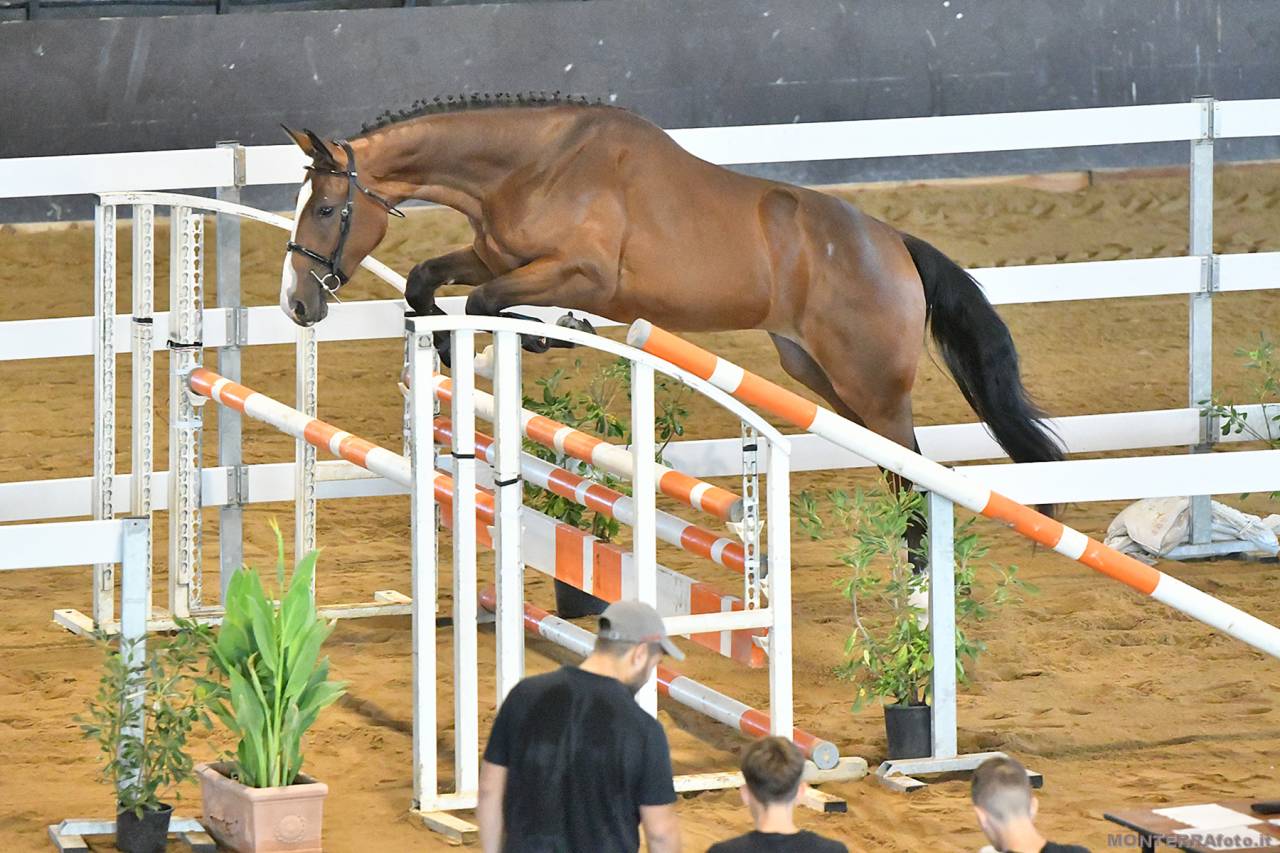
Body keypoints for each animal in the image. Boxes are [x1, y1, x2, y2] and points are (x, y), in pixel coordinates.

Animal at [279, 96, 1063, 609]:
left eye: (327, 209)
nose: (298, 304)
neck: (530, 166)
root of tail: (895, 243)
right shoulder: (493, 255)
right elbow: (428, 281)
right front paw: (461, 343)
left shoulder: (583, 273)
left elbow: (483, 305)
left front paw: (532, 334)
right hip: (818, 374)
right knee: (901, 470)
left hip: (871, 387)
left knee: (917, 475)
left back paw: (926, 592)